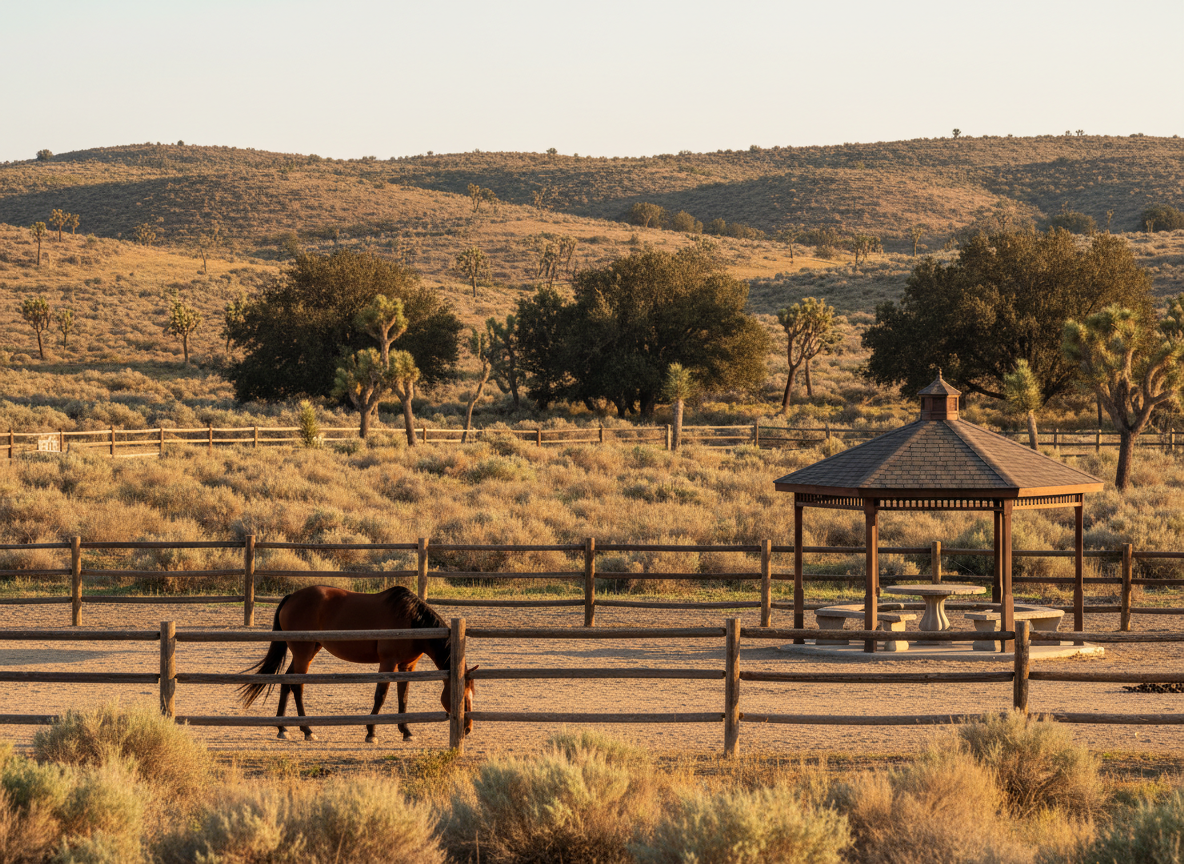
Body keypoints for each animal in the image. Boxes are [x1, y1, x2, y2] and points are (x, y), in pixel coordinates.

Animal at [237, 585, 477, 742]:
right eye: (462, 696)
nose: (467, 729)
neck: (411, 621)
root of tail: (292, 597)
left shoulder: (407, 667)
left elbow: (403, 697)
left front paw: (406, 731)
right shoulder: (388, 663)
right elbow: (381, 695)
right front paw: (371, 732)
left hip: (308, 651)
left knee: (286, 681)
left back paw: (282, 727)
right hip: (303, 653)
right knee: (297, 686)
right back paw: (307, 730)